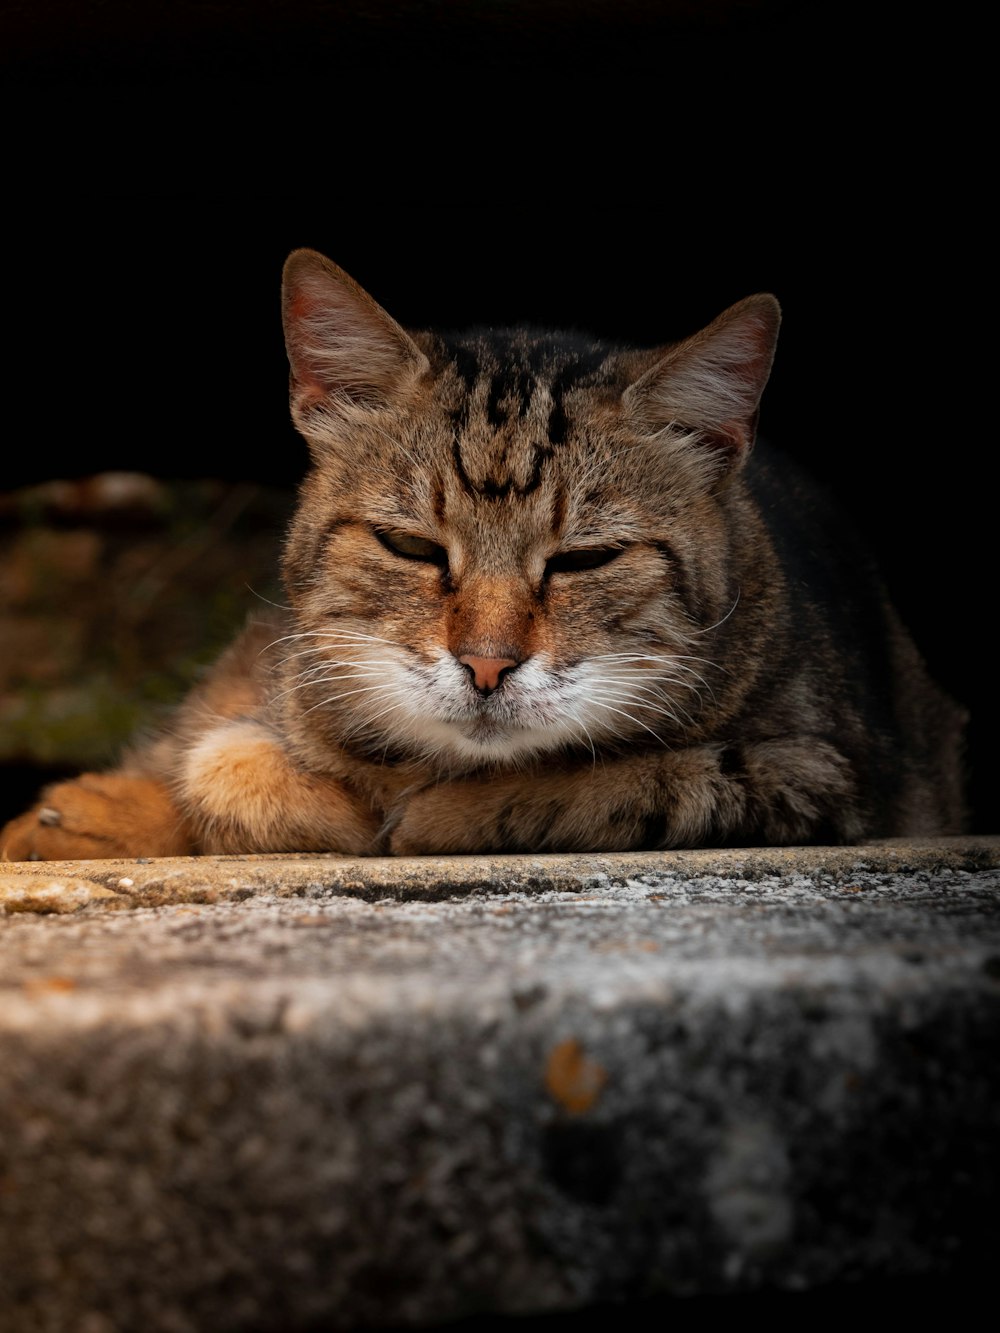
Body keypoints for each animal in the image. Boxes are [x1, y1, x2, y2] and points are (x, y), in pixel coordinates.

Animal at [0, 245, 970, 858]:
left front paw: (422, 814)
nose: (487, 665)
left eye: (584, 559)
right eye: (411, 547)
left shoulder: (814, 772)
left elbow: (611, 783)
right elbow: (229, 762)